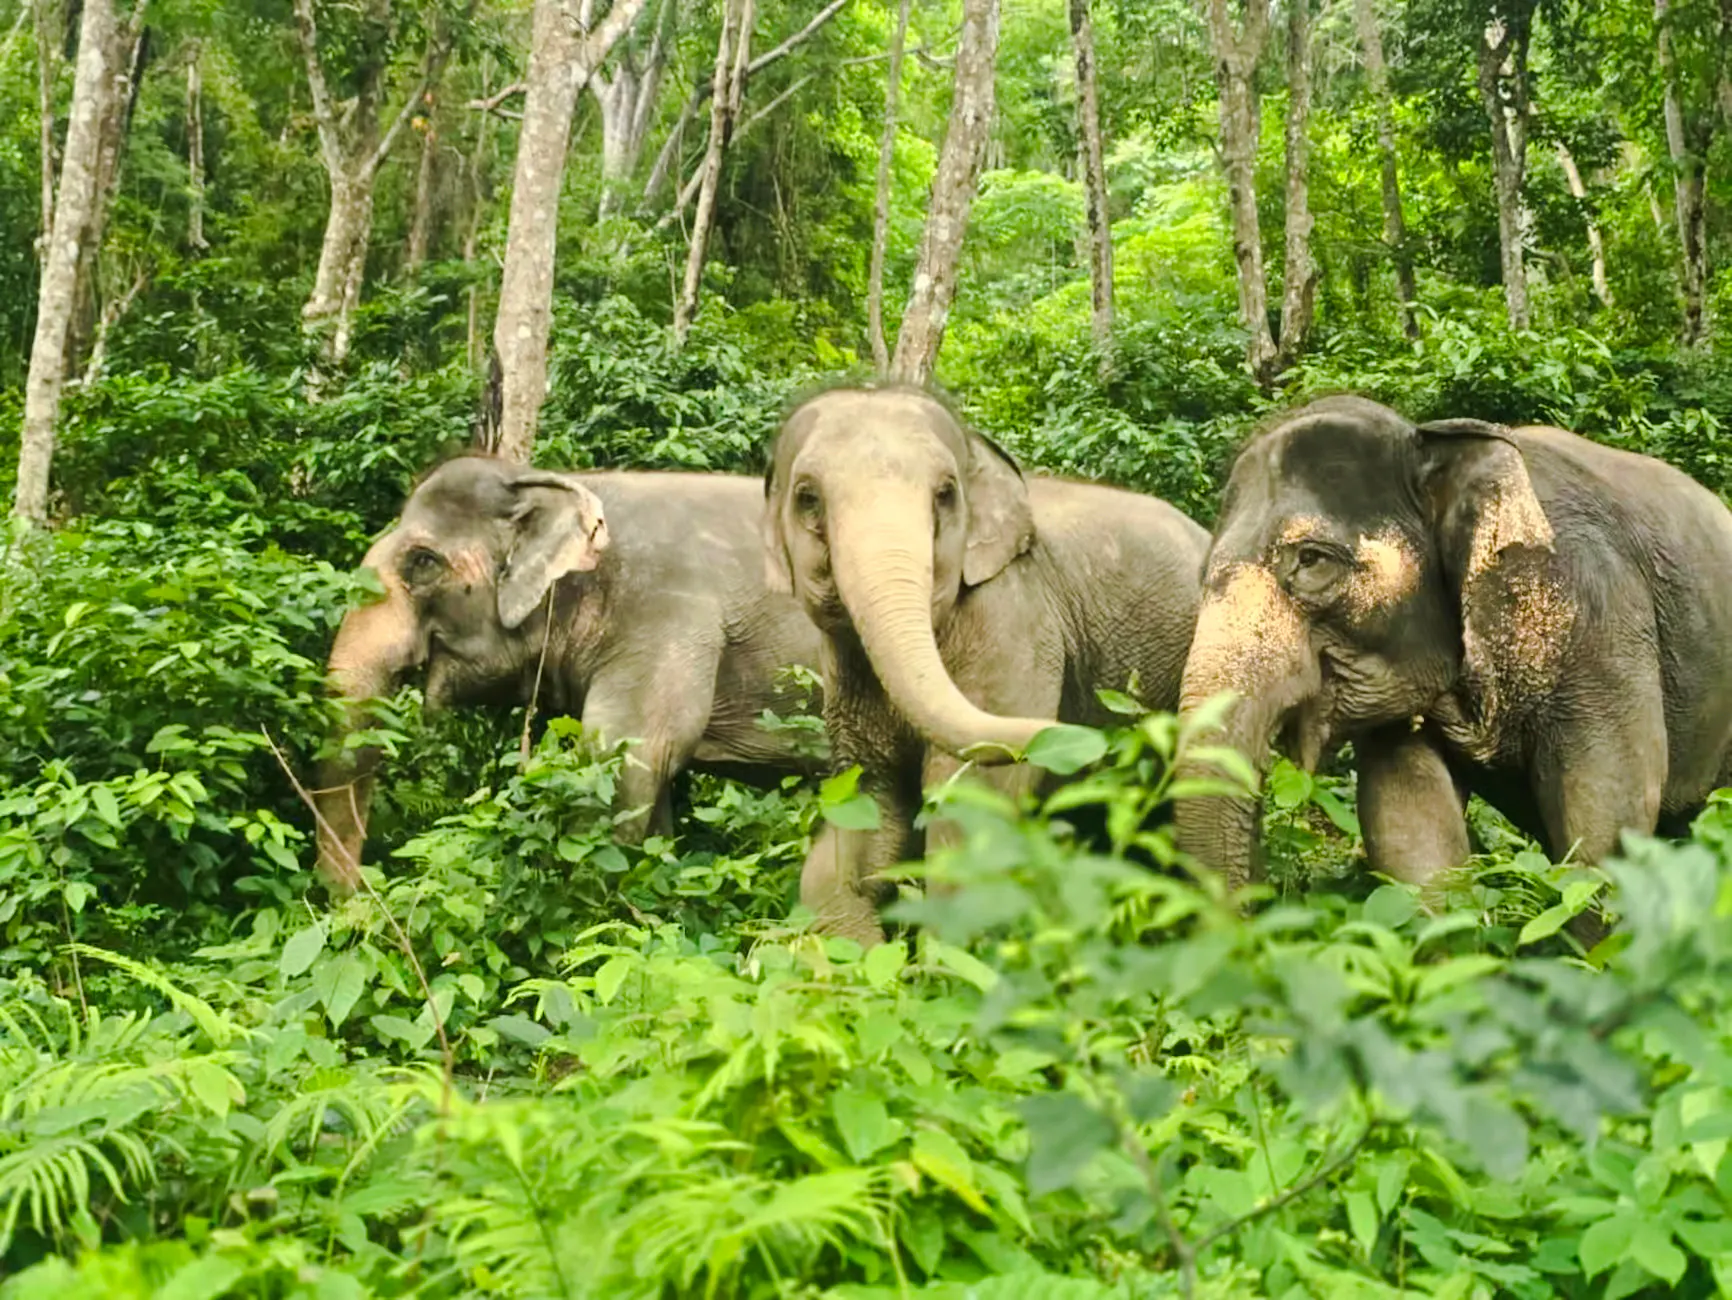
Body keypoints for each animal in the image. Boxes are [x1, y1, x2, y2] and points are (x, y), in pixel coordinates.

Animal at [762, 385, 1211, 944]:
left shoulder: (1013, 619)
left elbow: (971, 798)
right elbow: (868, 794)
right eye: (807, 498)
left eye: (945, 494)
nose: (1093, 738)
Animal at [1176, 394, 1732, 906]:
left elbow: (1606, 820)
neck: (1432, 441)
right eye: (1202, 575)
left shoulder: (1599, 615)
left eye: (1311, 560)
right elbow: (1409, 825)